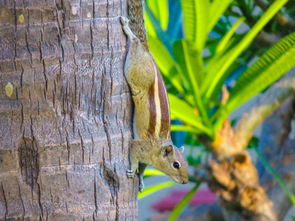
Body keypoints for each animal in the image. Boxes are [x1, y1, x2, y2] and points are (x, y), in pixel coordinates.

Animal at [121, 0, 188, 192]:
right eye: (176, 165)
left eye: (186, 164)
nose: (185, 181)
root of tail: (148, 52)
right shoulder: (139, 147)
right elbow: (134, 153)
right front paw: (132, 169)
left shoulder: (146, 159)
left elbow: (143, 168)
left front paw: (141, 180)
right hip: (135, 69)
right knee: (135, 41)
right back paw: (128, 30)